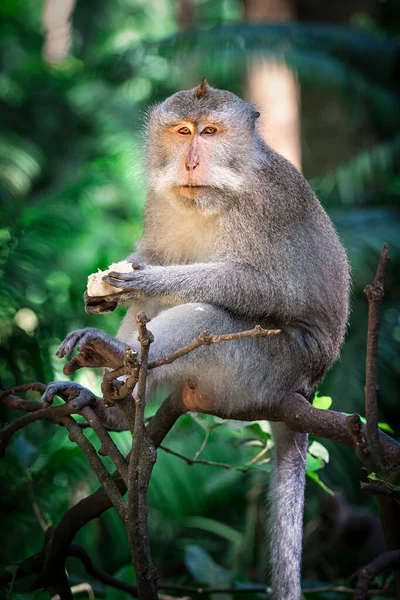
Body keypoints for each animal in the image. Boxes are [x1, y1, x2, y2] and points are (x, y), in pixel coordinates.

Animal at [54, 81, 348, 600]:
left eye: (210, 132)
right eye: (182, 132)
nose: (190, 163)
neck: (215, 196)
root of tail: (305, 391)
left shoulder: (269, 205)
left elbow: (266, 288)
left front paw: (147, 280)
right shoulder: (159, 200)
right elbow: (154, 253)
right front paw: (108, 291)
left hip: (265, 372)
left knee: (210, 315)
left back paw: (118, 360)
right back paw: (115, 403)